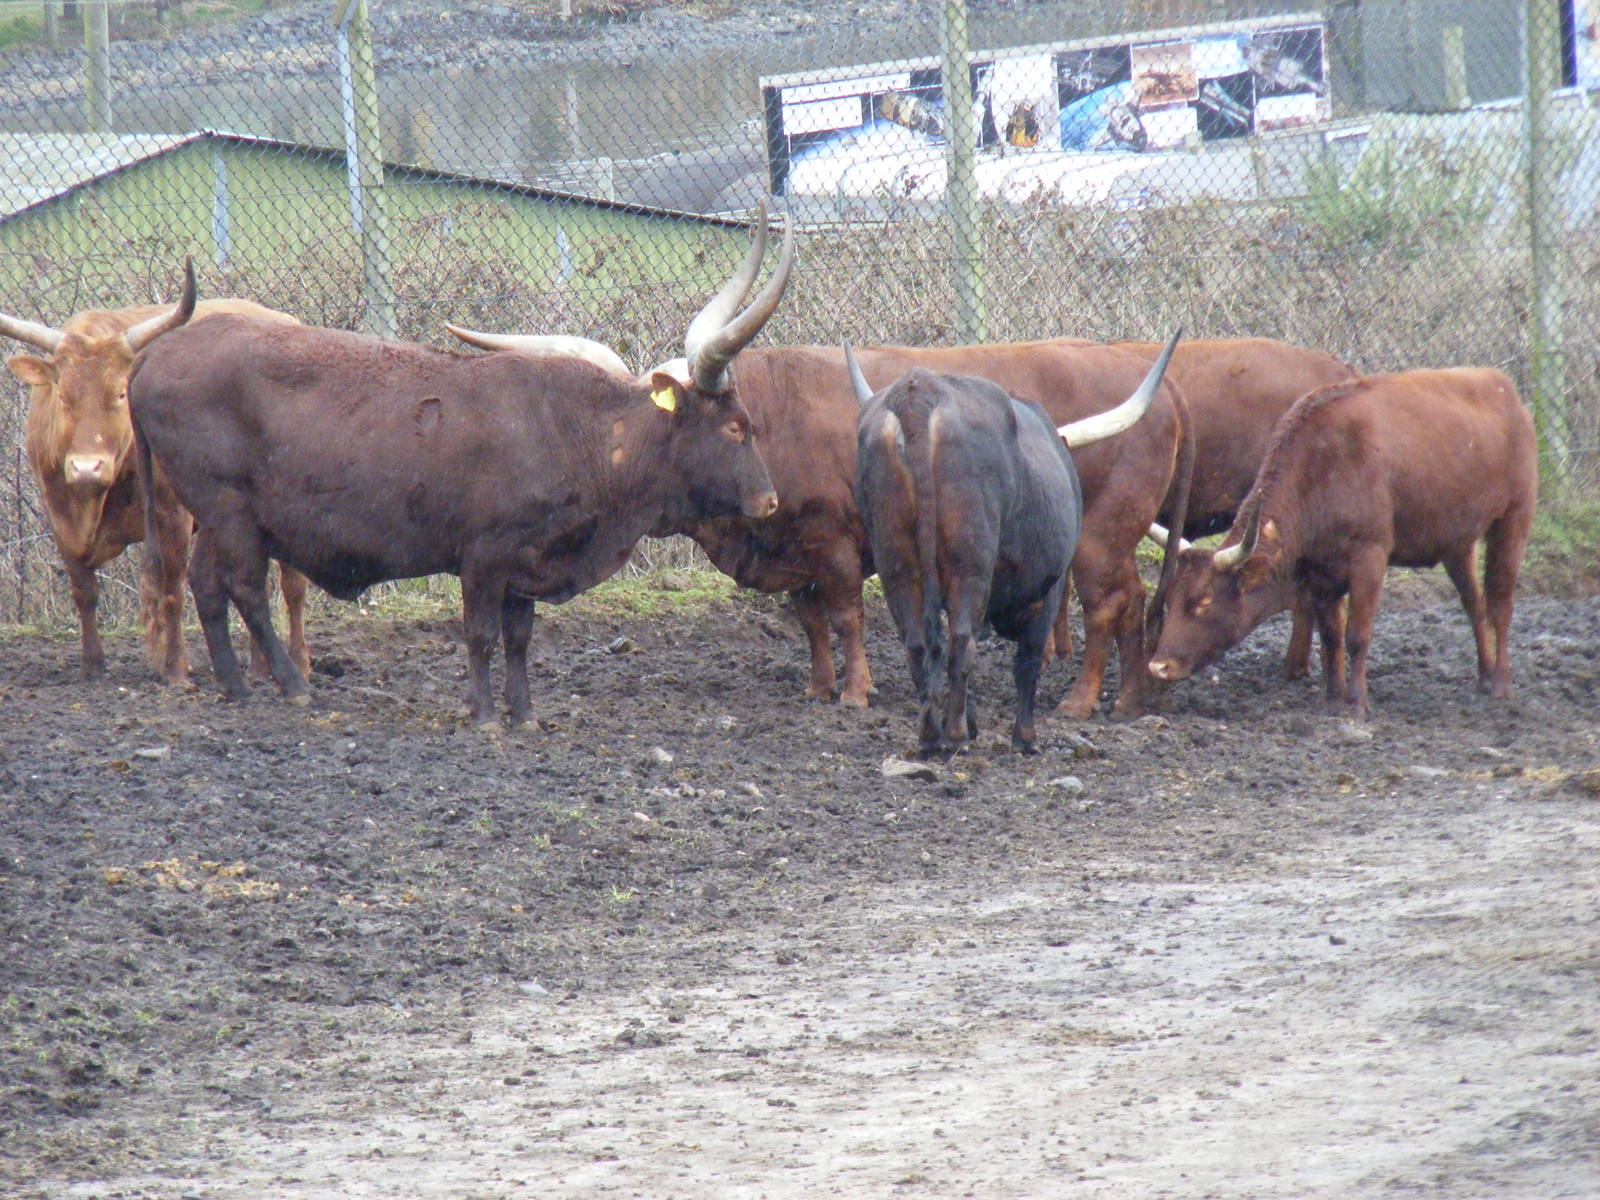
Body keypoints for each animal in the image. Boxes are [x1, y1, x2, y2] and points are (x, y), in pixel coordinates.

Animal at [2, 269, 310, 683]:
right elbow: (84, 591)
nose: (86, 467)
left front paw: (176, 668)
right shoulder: (58, 514)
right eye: (63, 396)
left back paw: (299, 664)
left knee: (293, 587)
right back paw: (261, 668)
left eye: (119, 394)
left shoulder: (171, 513)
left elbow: (172, 590)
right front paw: (92, 665)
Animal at [129, 208, 794, 725]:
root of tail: (156, 354)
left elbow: (520, 639)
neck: (576, 433)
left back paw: (236, 687)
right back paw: (291, 687)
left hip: (210, 514)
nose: (769, 501)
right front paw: (484, 713)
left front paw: (524, 714)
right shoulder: (484, 555)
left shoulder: (528, 561)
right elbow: (480, 633)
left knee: (206, 585)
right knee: (245, 589)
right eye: (736, 426)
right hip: (230, 510)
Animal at [845, 346, 1087, 754]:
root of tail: (919, 390)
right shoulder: (1047, 592)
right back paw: (956, 736)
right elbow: (1028, 662)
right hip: (969, 565)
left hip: (897, 564)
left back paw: (931, 734)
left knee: (919, 644)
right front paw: (1025, 737)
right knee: (962, 641)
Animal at [1147, 369, 1538, 718]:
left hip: (1514, 518)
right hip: (1457, 542)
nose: (1158, 667)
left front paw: (1356, 703)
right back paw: (1484, 675)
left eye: (1204, 602)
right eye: (1170, 599)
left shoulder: (1369, 556)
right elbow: (1331, 634)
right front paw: (1332, 697)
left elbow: (1357, 635)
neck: (1323, 465)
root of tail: (1503, 387)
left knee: (1500, 601)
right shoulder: (1321, 571)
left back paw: (1501, 683)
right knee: (1474, 602)